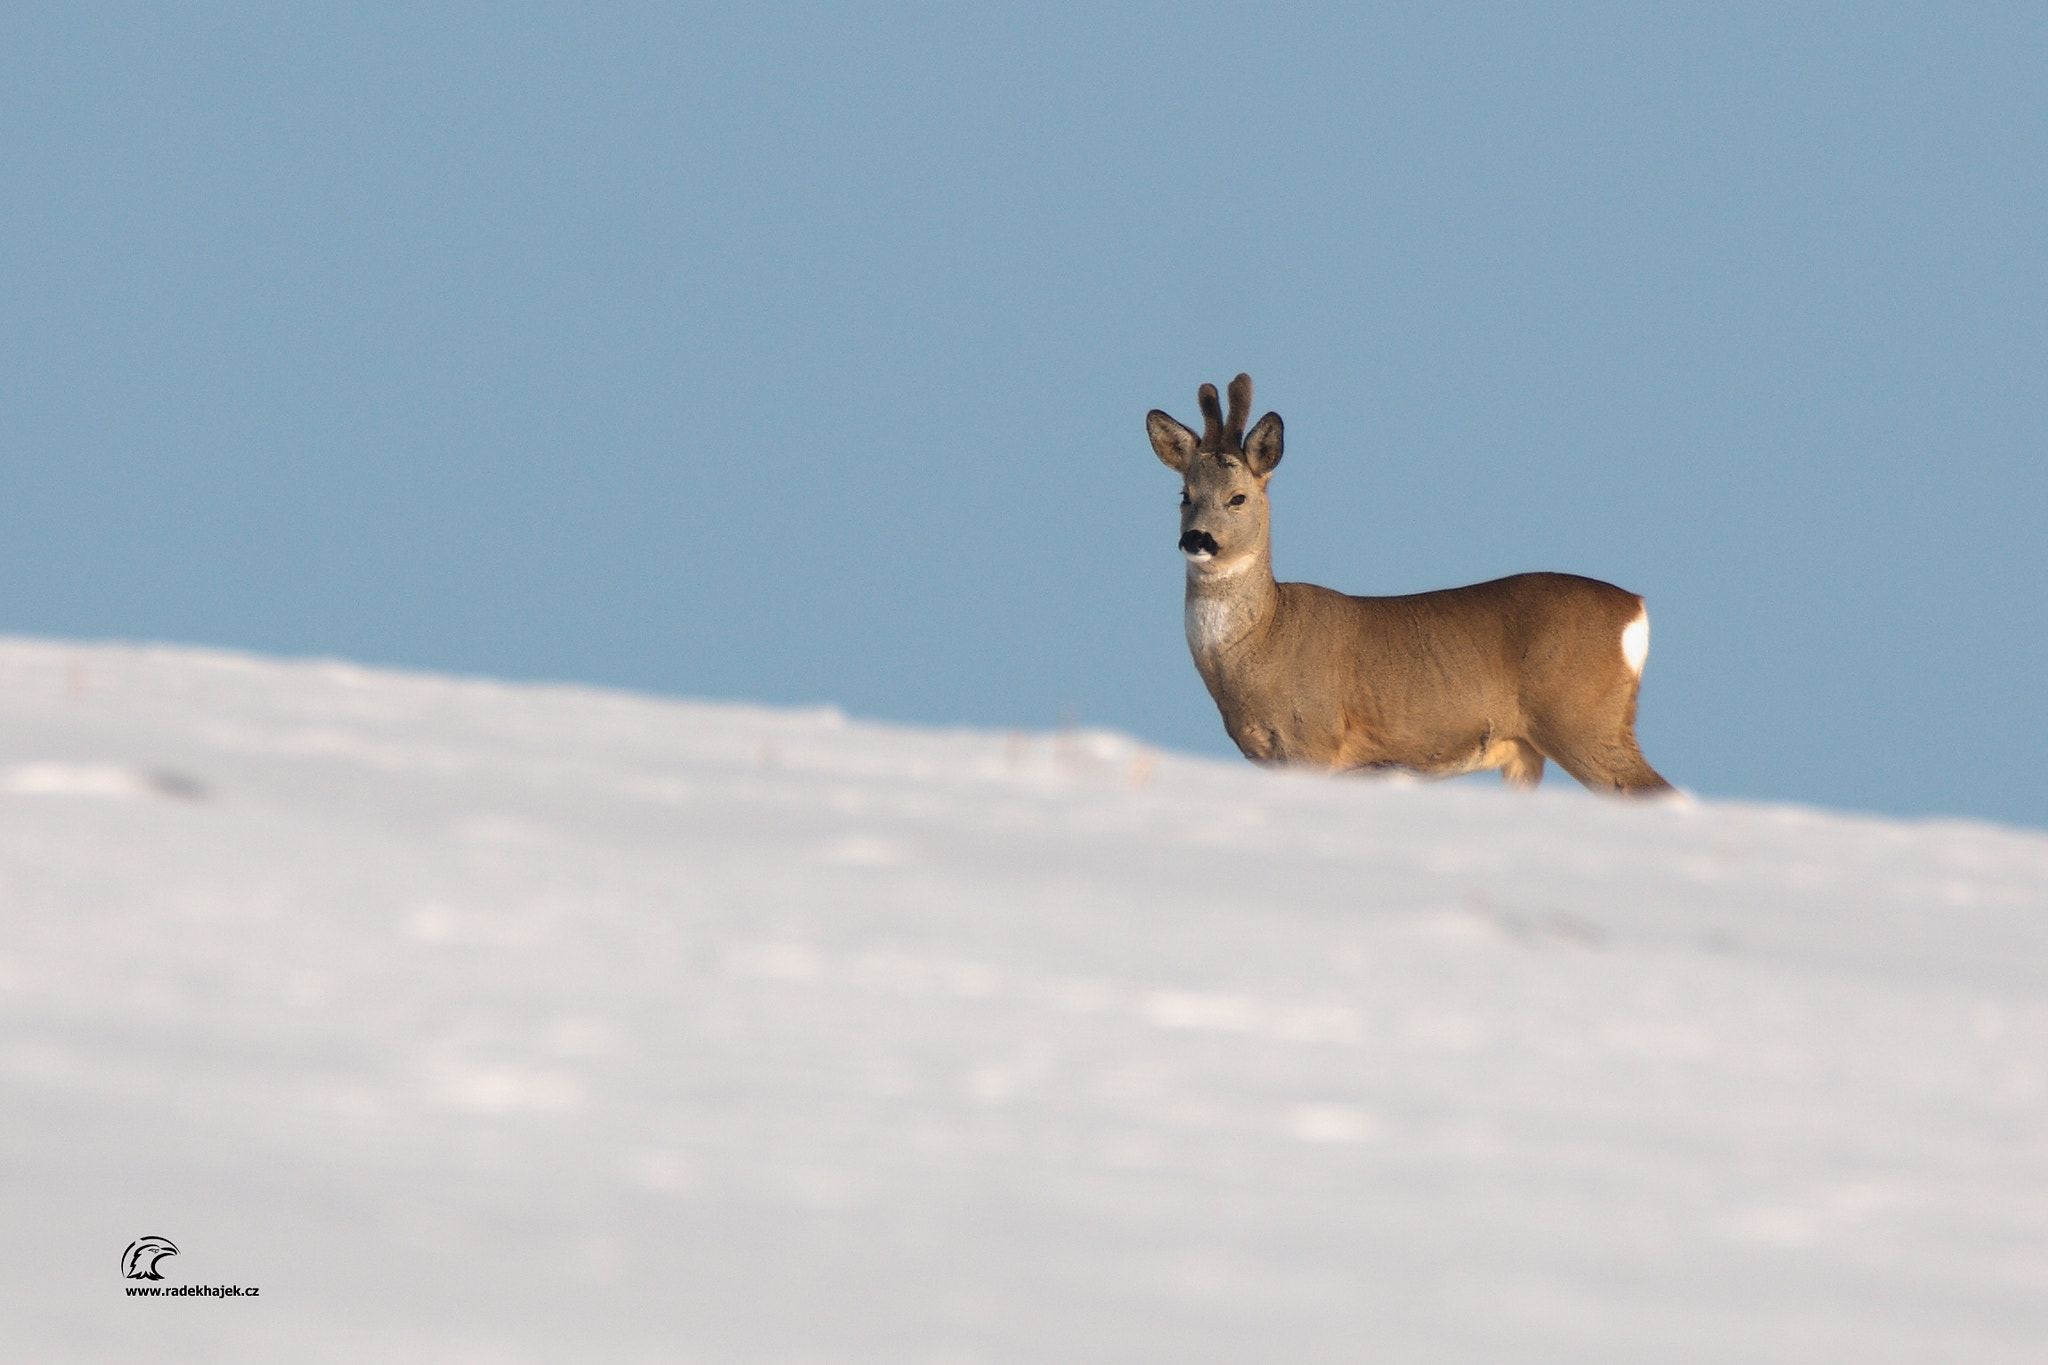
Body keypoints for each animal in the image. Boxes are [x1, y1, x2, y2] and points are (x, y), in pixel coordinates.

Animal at [1147, 374, 1673, 795]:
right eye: (1184, 495)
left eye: (1238, 498)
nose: (1197, 539)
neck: (1266, 638)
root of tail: (1637, 609)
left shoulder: (1314, 737)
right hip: (1535, 747)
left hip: (1581, 718)